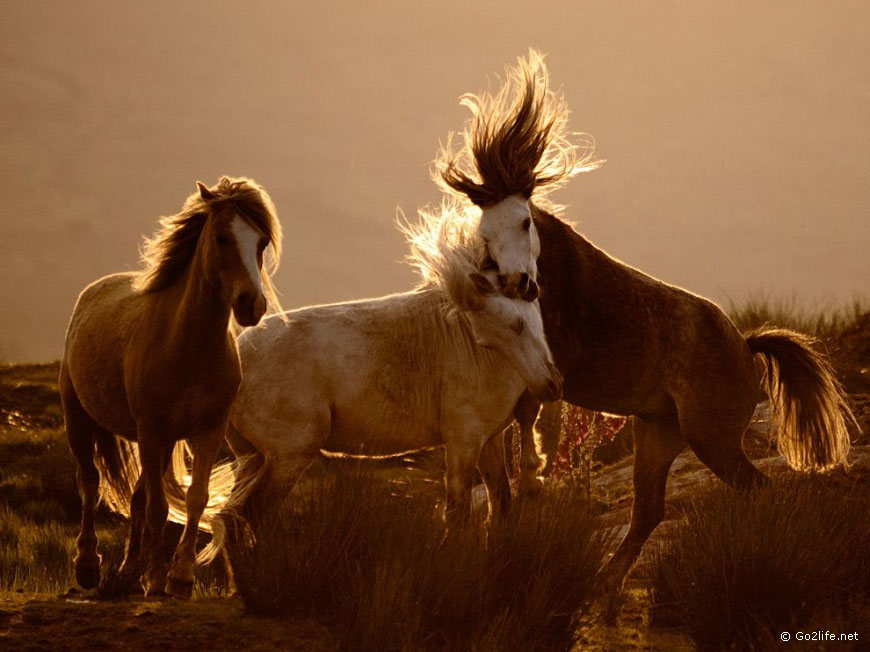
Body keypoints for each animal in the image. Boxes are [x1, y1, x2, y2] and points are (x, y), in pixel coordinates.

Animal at [60, 176, 282, 600]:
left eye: (262, 242)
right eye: (221, 237)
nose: (252, 305)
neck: (187, 347)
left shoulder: (208, 432)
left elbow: (194, 498)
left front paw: (179, 577)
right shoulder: (151, 431)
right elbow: (158, 508)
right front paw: (158, 578)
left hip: (159, 445)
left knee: (135, 497)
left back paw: (128, 573)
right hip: (80, 420)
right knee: (89, 483)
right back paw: (89, 568)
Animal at [187, 200, 564, 560]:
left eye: (529, 319)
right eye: (511, 326)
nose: (552, 384)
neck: (480, 352)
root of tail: (237, 358)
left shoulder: (489, 441)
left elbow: (501, 504)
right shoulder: (463, 441)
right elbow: (457, 513)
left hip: (250, 457)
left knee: (232, 520)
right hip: (287, 456)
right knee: (248, 516)